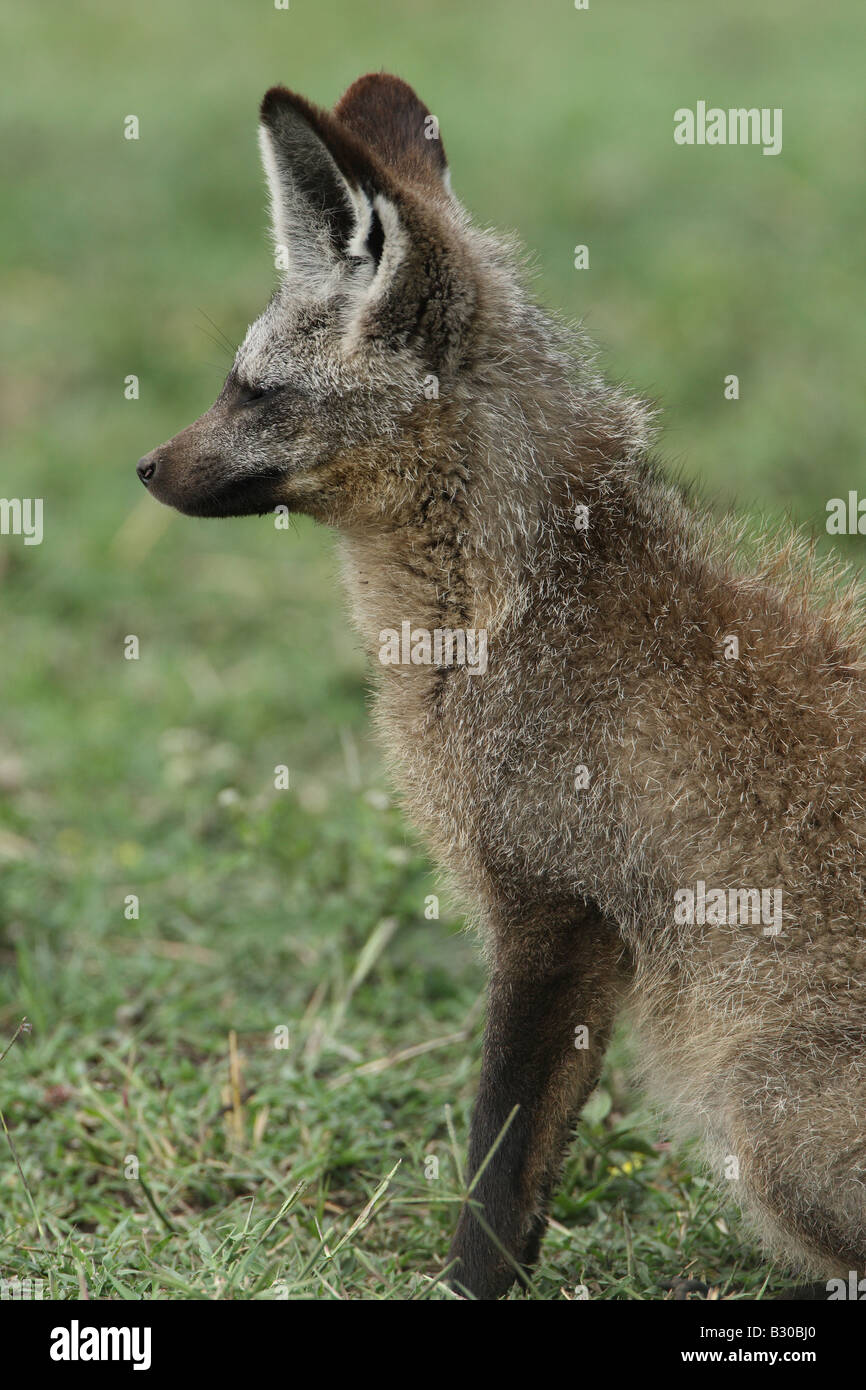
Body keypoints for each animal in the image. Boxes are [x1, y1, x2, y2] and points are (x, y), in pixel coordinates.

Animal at [137, 72, 866, 1300]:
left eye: (255, 392)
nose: (144, 468)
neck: (519, 610)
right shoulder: (571, 931)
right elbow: (524, 1183)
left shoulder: (552, 912)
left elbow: (497, 1163)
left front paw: (463, 1287)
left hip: (767, 1136)